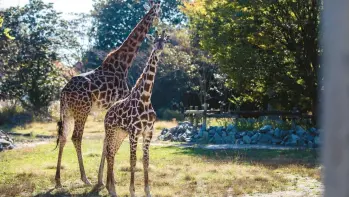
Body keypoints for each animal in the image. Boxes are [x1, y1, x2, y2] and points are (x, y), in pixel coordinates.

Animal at [54, 0, 162, 188]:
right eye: (159, 11)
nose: (160, 24)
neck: (124, 63)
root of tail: (64, 92)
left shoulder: (109, 110)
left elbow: (106, 141)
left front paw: (104, 179)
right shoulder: (116, 105)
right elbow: (107, 142)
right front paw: (106, 180)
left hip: (67, 112)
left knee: (63, 137)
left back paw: (58, 181)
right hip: (82, 110)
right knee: (76, 137)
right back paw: (85, 179)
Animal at [98, 30, 169, 197]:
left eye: (164, 41)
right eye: (154, 41)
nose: (159, 47)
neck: (145, 98)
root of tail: (107, 113)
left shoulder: (148, 132)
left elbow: (145, 160)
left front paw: (148, 190)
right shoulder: (134, 132)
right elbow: (133, 160)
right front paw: (132, 190)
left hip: (120, 133)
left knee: (112, 153)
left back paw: (110, 187)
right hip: (111, 131)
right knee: (109, 153)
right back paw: (112, 189)